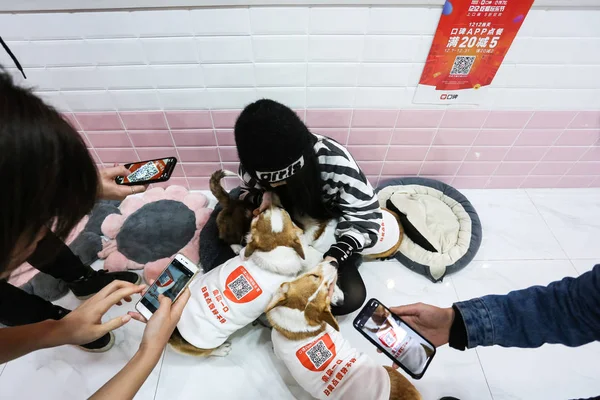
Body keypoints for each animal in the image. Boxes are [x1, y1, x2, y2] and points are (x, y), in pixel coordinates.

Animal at [171, 205, 308, 358]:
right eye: (286, 213)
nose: (273, 205)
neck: (274, 247)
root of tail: (175, 332)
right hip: (207, 345)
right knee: (208, 353)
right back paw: (221, 350)